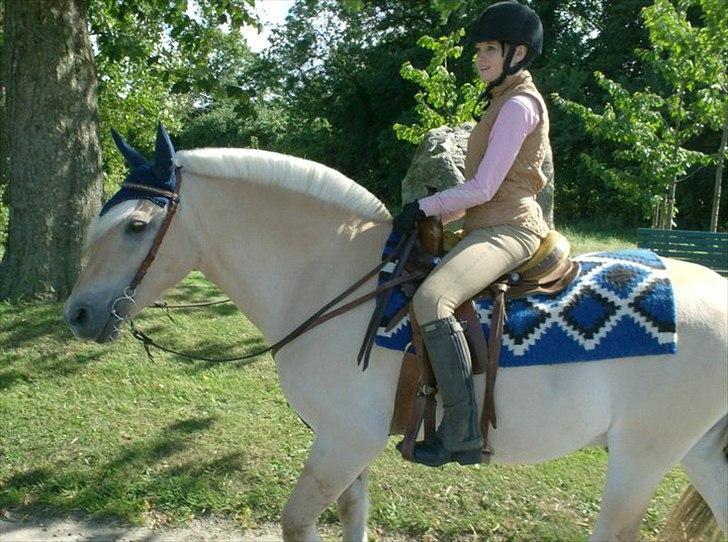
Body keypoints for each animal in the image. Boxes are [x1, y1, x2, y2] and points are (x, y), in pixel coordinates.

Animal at [65, 129, 724, 542]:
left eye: (137, 225)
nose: (77, 314)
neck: (328, 279)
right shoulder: (346, 445)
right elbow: (352, 518)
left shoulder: (344, 441)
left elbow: (297, 522)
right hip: (700, 453)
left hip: (642, 455)